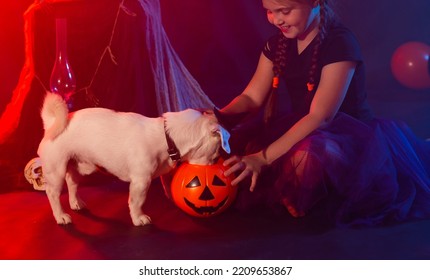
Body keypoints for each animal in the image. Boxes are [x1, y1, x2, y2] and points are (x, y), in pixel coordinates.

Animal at [38, 93, 230, 226]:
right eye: (216, 151)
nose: (216, 161)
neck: (167, 135)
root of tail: (52, 124)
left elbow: (166, 185)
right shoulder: (141, 181)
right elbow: (137, 202)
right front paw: (138, 218)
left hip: (76, 167)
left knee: (72, 183)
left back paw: (76, 202)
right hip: (56, 171)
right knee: (53, 193)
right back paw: (60, 215)